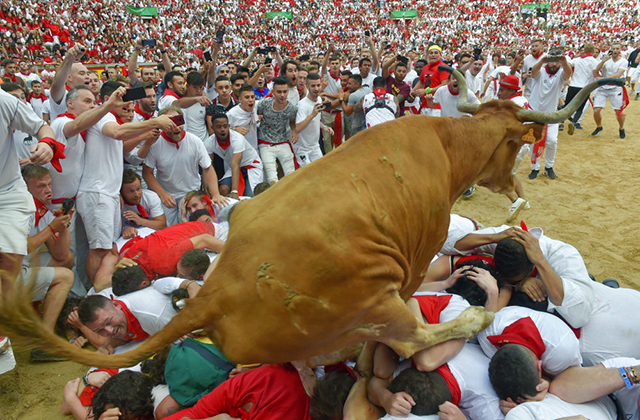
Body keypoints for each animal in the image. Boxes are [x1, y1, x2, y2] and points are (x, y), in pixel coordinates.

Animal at [0, 70, 620, 370]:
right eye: (515, 143)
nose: (514, 183)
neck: (443, 146)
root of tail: (217, 292)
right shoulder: (420, 253)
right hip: (376, 301)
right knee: (412, 339)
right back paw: (472, 318)